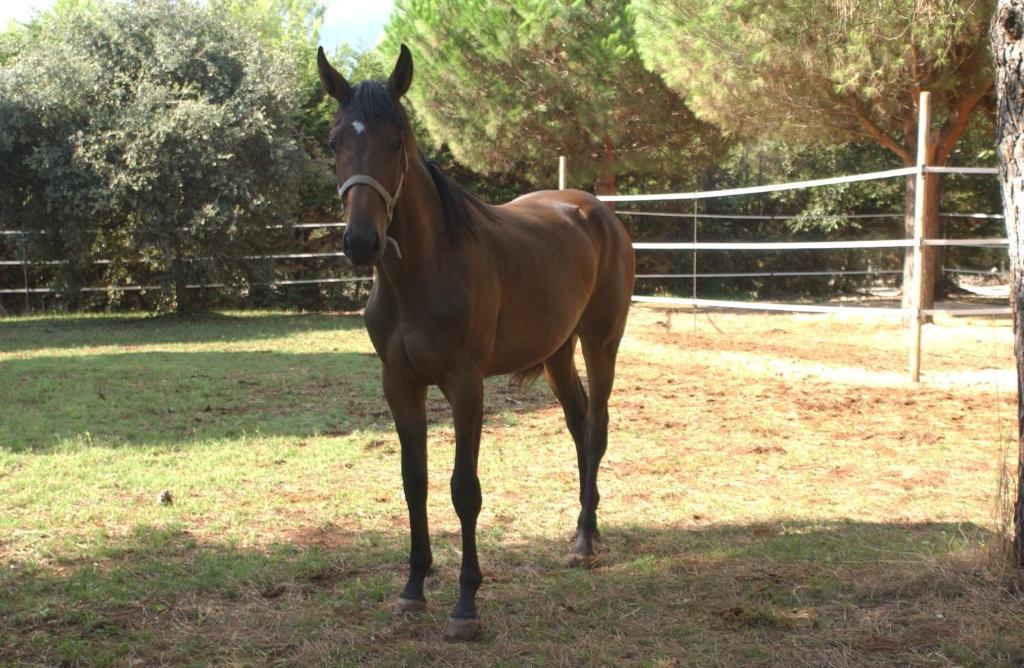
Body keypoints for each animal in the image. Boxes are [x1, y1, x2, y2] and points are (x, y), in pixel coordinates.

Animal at [315, 44, 634, 639]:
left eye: (398, 141)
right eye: (334, 141)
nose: (363, 242)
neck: (424, 271)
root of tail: (596, 209)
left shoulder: (466, 385)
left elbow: (465, 488)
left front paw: (466, 604)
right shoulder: (400, 385)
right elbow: (414, 480)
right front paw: (413, 588)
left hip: (601, 343)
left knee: (596, 429)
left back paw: (586, 539)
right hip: (557, 353)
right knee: (578, 426)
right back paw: (584, 531)